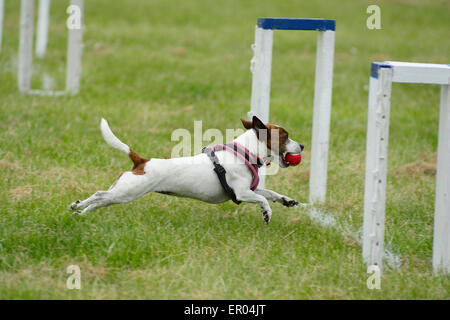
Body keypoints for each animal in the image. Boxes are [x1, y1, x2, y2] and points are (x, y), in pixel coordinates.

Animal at [68, 116, 304, 224]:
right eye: (285, 137)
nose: (302, 146)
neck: (245, 152)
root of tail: (142, 161)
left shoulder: (250, 189)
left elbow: (269, 193)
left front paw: (286, 200)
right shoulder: (242, 193)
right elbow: (263, 199)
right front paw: (267, 213)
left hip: (122, 192)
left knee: (101, 200)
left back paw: (81, 213)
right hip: (128, 192)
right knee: (99, 195)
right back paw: (77, 205)